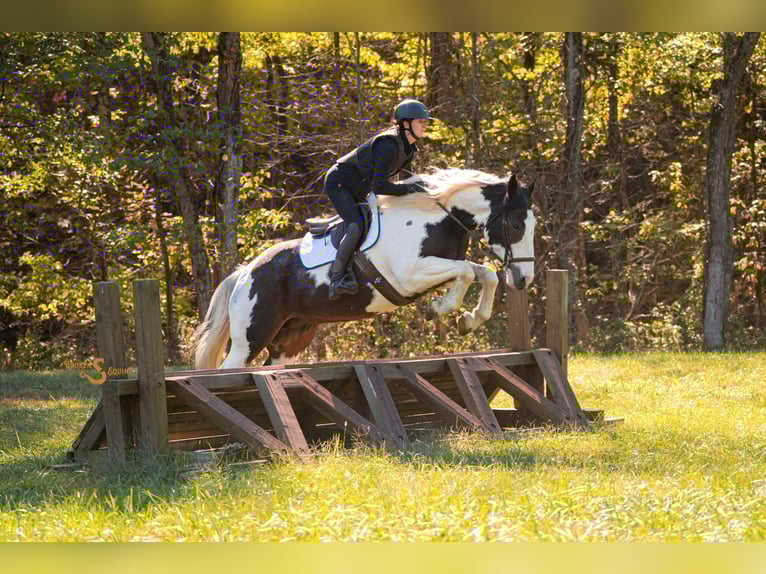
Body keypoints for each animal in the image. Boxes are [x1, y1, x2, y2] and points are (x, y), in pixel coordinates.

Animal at [192, 168, 536, 369]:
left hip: (289, 341)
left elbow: (483, 273)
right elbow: (466, 272)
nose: (524, 279)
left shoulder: (438, 268)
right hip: (250, 338)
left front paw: (469, 319)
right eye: (516, 225)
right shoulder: (410, 275)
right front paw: (440, 309)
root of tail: (244, 273)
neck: (437, 218)